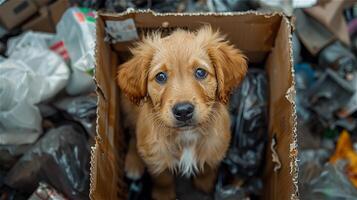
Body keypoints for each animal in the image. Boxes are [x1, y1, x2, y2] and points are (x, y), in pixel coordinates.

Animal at [117, 25, 248, 199]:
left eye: (200, 72)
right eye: (160, 76)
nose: (184, 111)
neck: (187, 136)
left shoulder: (216, 146)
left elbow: (207, 169)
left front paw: (205, 185)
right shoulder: (157, 157)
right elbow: (163, 179)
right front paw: (164, 195)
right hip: (129, 110)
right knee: (133, 135)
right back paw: (133, 163)